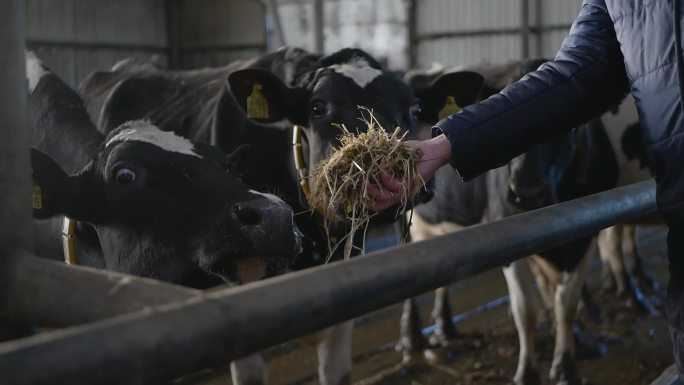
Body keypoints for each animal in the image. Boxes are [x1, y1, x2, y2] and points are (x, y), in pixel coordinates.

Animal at [400, 57, 620, 384]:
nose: (526, 193)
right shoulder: (507, 236)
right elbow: (524, 310)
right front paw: (527, 372)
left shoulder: (586, 236)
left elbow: (566, 304)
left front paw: (567, 361)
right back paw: (412, 336)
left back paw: (445, 326)